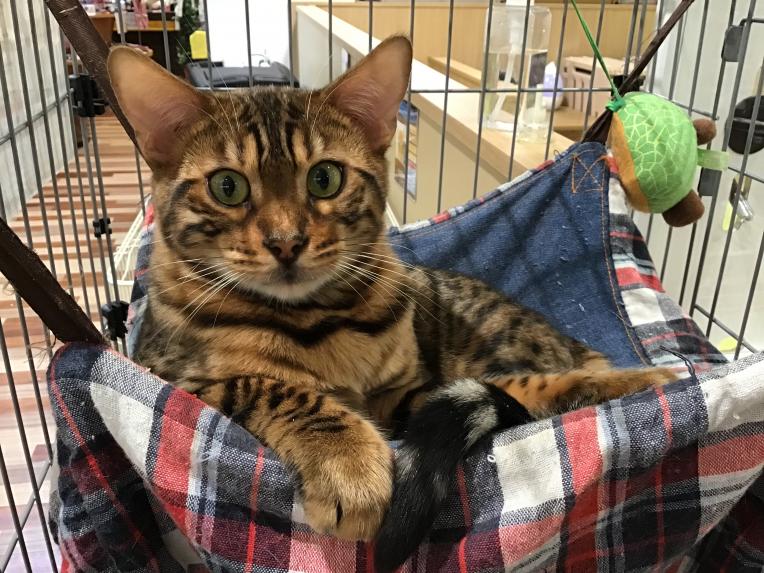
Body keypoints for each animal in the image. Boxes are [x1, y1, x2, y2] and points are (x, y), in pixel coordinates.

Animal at [108, 36, 676, 572]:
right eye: (227, 186)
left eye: (325, 178)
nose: (287, 242)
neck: (316, 318)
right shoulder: (176, 379)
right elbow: (275, 388)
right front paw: (349, 465)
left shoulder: (409, 396)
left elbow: (520, 391)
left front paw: (628, 384)